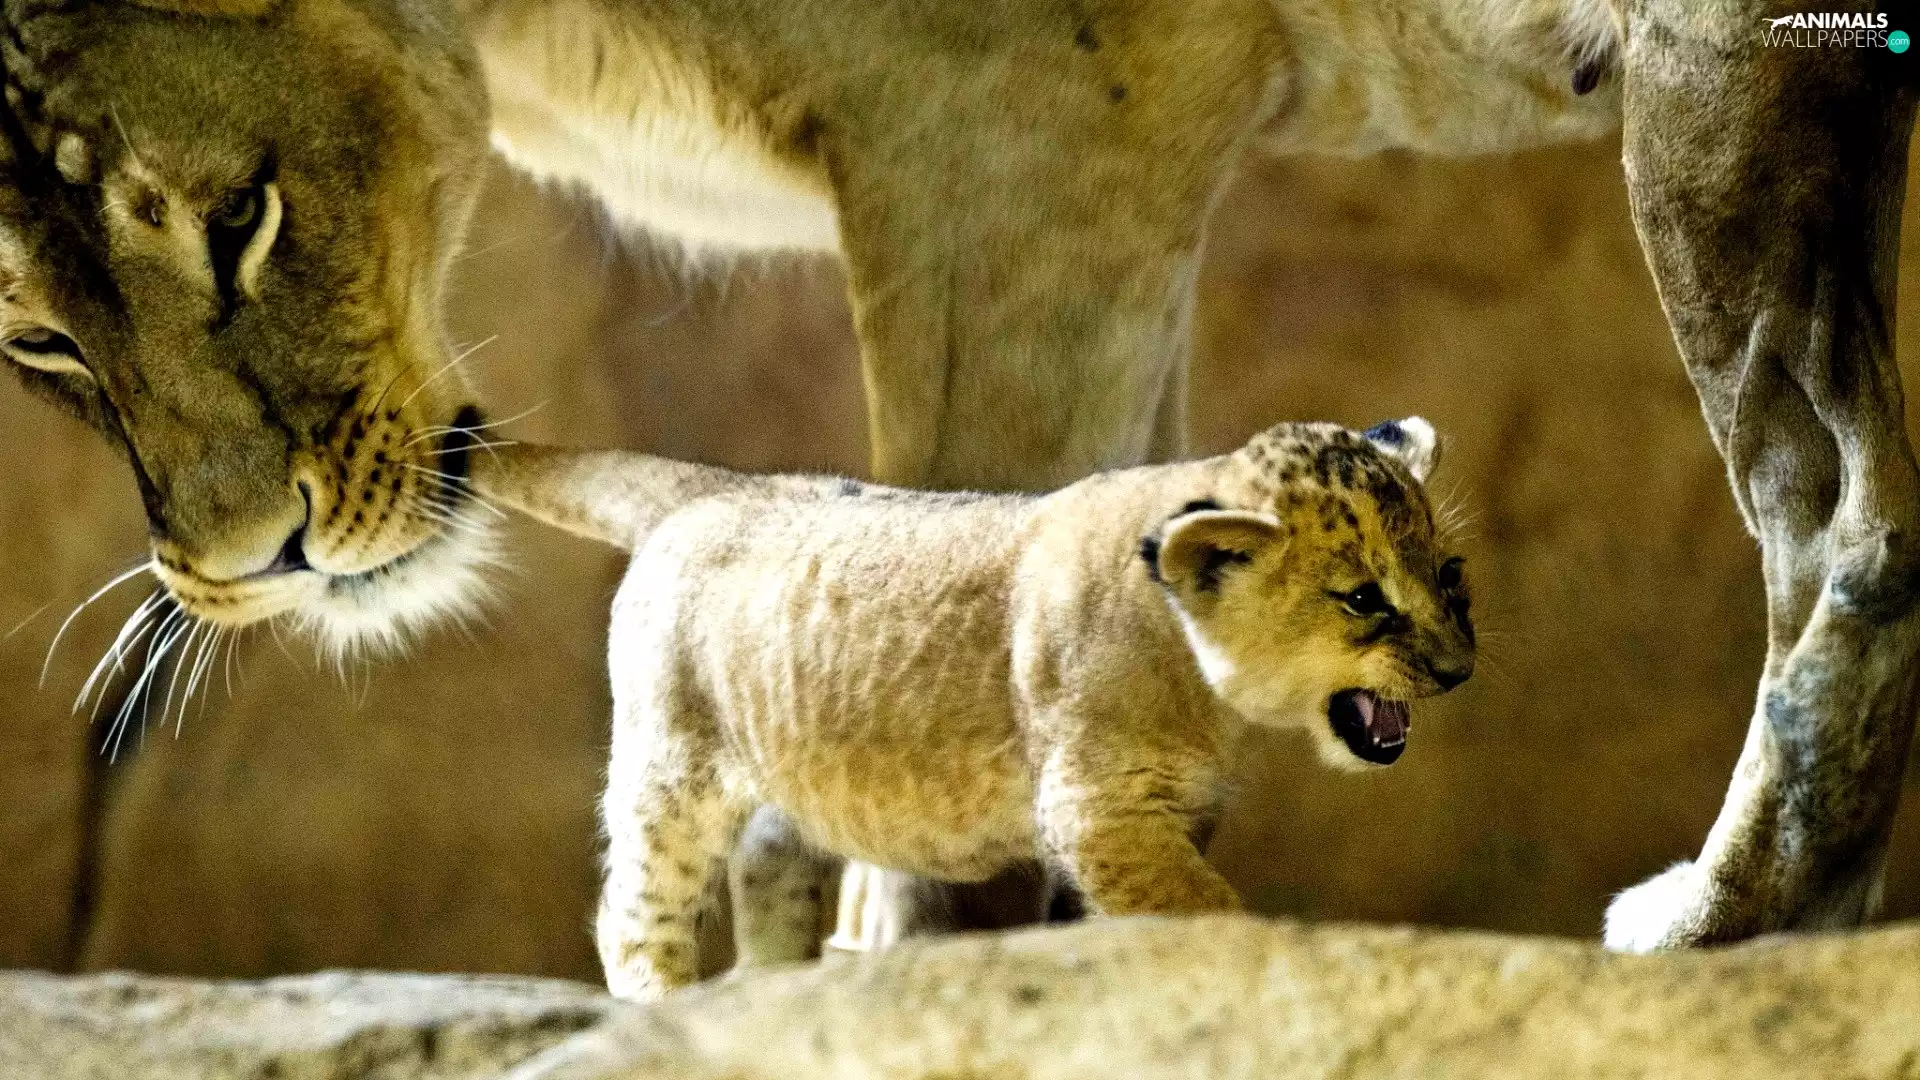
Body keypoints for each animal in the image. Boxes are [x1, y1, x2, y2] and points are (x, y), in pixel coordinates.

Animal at [0, 0, 1909, 961]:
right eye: (29, 337)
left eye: (241, 217)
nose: (258, 560)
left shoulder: (1023, 137)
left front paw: (932, 970)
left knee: (1840, 510)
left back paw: (1731, 923)